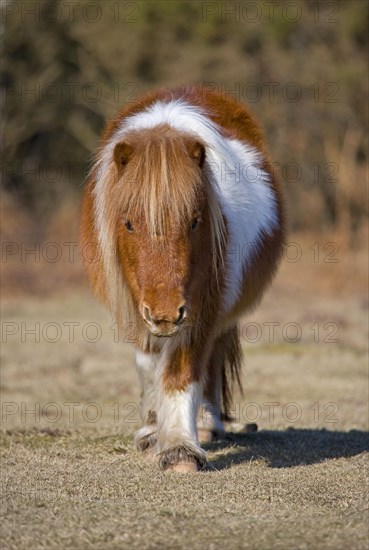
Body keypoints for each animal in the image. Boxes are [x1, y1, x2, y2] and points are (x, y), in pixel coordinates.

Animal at [79, 86, 284, 474]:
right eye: (129, 223)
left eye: (194, 221)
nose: (165, 314)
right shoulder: (136, 306)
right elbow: (149, 366)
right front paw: (151, 433)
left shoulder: (201, 309)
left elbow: (182, 371)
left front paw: (179, 450)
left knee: (210, 362)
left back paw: (206, 425)